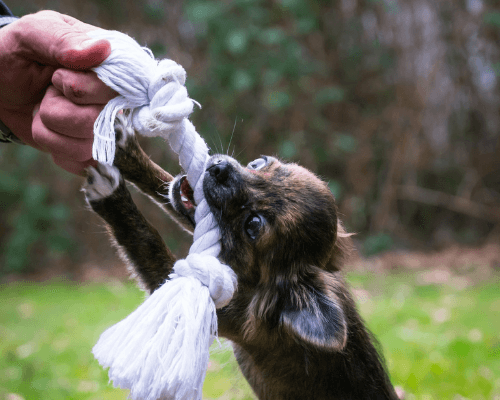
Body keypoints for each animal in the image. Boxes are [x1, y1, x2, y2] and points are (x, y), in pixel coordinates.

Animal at [83, 116, 398, 400]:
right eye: (258, 163)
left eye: (253, 225)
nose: (219, 167)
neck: (255, 284)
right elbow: (165, 183)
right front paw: (126, 151)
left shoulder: (218, 306)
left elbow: (145, 238)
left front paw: (111, 194)